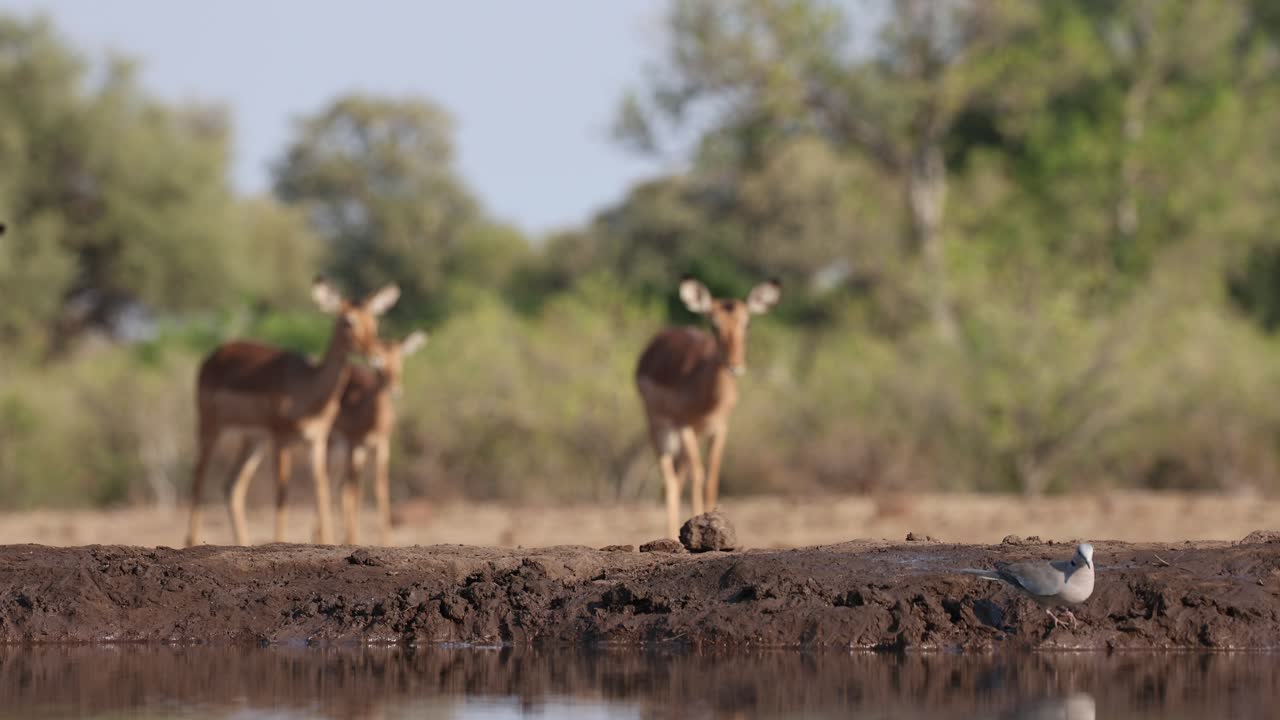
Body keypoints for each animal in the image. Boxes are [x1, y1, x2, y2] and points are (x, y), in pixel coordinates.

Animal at [185, 277, 400, 547]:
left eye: (374, 321)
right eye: (348, 321)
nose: (375, 356)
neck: (307, 386)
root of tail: (216, 354)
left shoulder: (316, 440)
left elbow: (320, 487)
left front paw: (327, 540)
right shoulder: (282, 438)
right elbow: (282, 493)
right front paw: (280, 540)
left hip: (254, 440)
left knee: (231, 486)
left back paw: (242, 543)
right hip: (211, 428)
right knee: (198, 478)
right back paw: (191, 542)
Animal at [330, 329, 427, 545]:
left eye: (400, 359)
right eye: (379, 363)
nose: (395, 389)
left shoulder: (381, 445)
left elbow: (380, 488)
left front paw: (387, 541)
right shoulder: (353, 443)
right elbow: (353, 491)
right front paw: (353, 538)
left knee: (343, 487)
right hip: (335, 447)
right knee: (337, 485)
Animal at [635, 276, 781, 538]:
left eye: (747, 323)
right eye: (714, 324)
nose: (734, 366)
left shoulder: (720, 428)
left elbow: (711, 477)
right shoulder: (684, 425)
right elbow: (698, 475)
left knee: (680, 475)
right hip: (659, 427)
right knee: (670, 479)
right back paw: (671, 534)